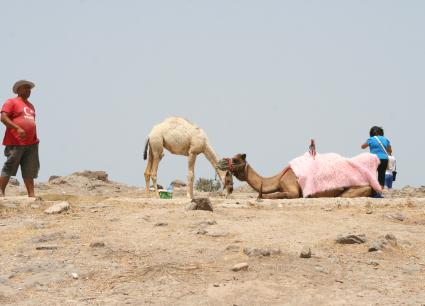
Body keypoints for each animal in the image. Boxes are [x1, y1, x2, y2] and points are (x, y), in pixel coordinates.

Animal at [217, 152, 380, 200]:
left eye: (236, 160)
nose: (220, 162)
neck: (278, 178)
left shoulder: (292, 189)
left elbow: (277, 194)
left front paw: (260, 197)